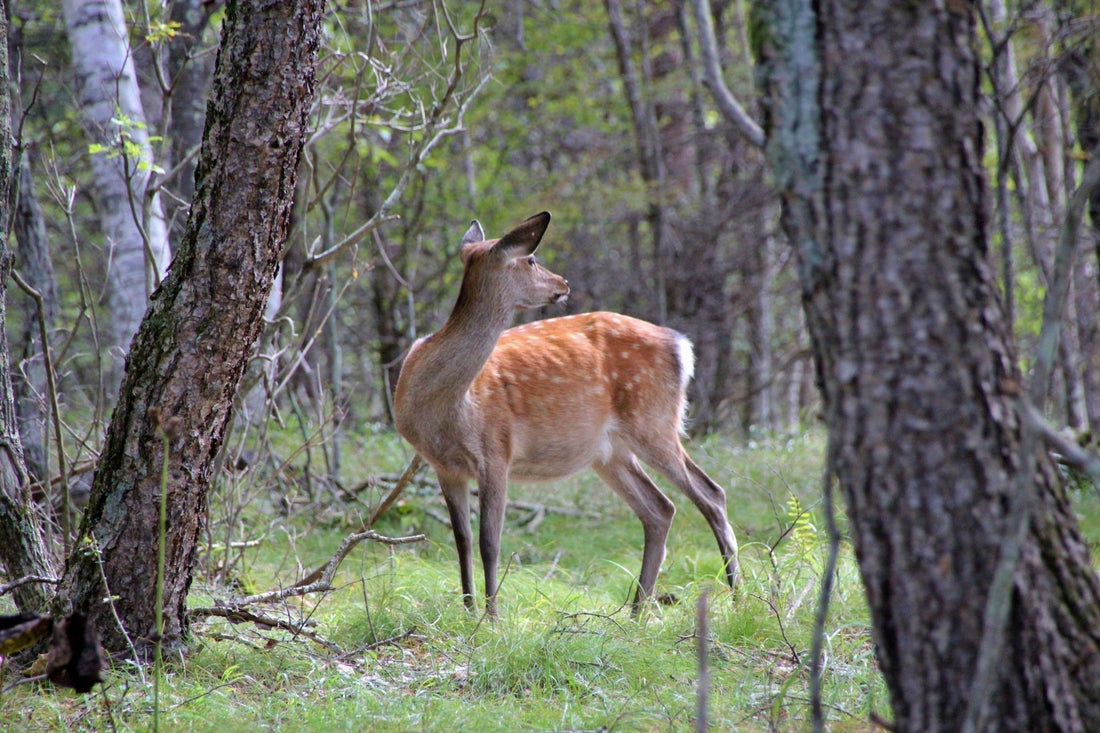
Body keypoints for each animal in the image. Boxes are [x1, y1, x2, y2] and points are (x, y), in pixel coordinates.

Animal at [396, 212, 739, 616]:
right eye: (531, 259)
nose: (563, 282)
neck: (446, 406)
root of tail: (682, 346)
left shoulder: (496, 449)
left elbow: (489, 542)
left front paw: (492, 618)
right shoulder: (445, 466)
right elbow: (462, 541)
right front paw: (468, 612)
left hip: (654, 422)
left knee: (711, 493)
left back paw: (737, 596)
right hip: (609, 451)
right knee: (660, 508)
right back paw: (637, 611)